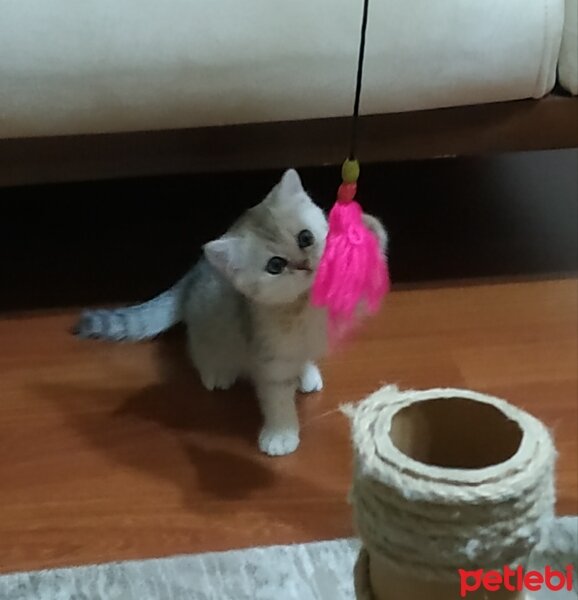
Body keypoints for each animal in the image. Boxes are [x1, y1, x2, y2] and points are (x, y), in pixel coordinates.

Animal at [73, 171, 388, 458]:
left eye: (305, 237)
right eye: (275, 265)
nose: (304, 264)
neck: (303, 304)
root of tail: (195, 272)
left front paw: (362, 229)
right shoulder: (271, 358)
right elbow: (277, 399)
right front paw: (281, 434)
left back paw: (307, 372)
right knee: (200, 350)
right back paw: (218, 372)